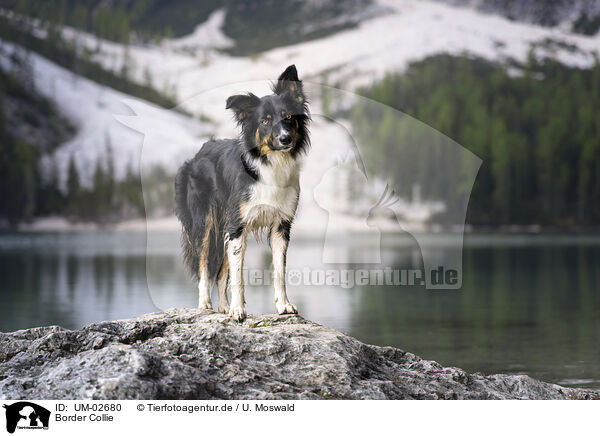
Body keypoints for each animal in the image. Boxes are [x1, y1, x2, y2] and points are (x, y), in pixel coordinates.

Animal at [175, 66, 310, 322]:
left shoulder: (281, 225)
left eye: (288, 117)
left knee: (221, 271)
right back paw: (206, 304)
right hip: (206, 221)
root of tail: (199, 153)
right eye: (265, 121)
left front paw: (283, 306)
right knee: (204, 263)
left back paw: (223, 306)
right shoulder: (238, 225)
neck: (272, 163)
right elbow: (237, 276)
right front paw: (238, 310)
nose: (285, 139)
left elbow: (279, 271)